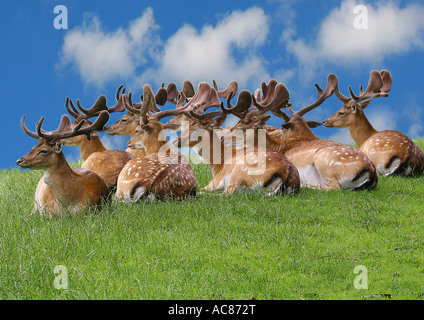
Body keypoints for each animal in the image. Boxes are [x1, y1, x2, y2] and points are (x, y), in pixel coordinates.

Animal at [222, 76, 378, 190]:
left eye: (241, 126)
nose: (223, 136)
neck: (278, 147)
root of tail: (371, 170)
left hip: (324, 159)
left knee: (334, 187)